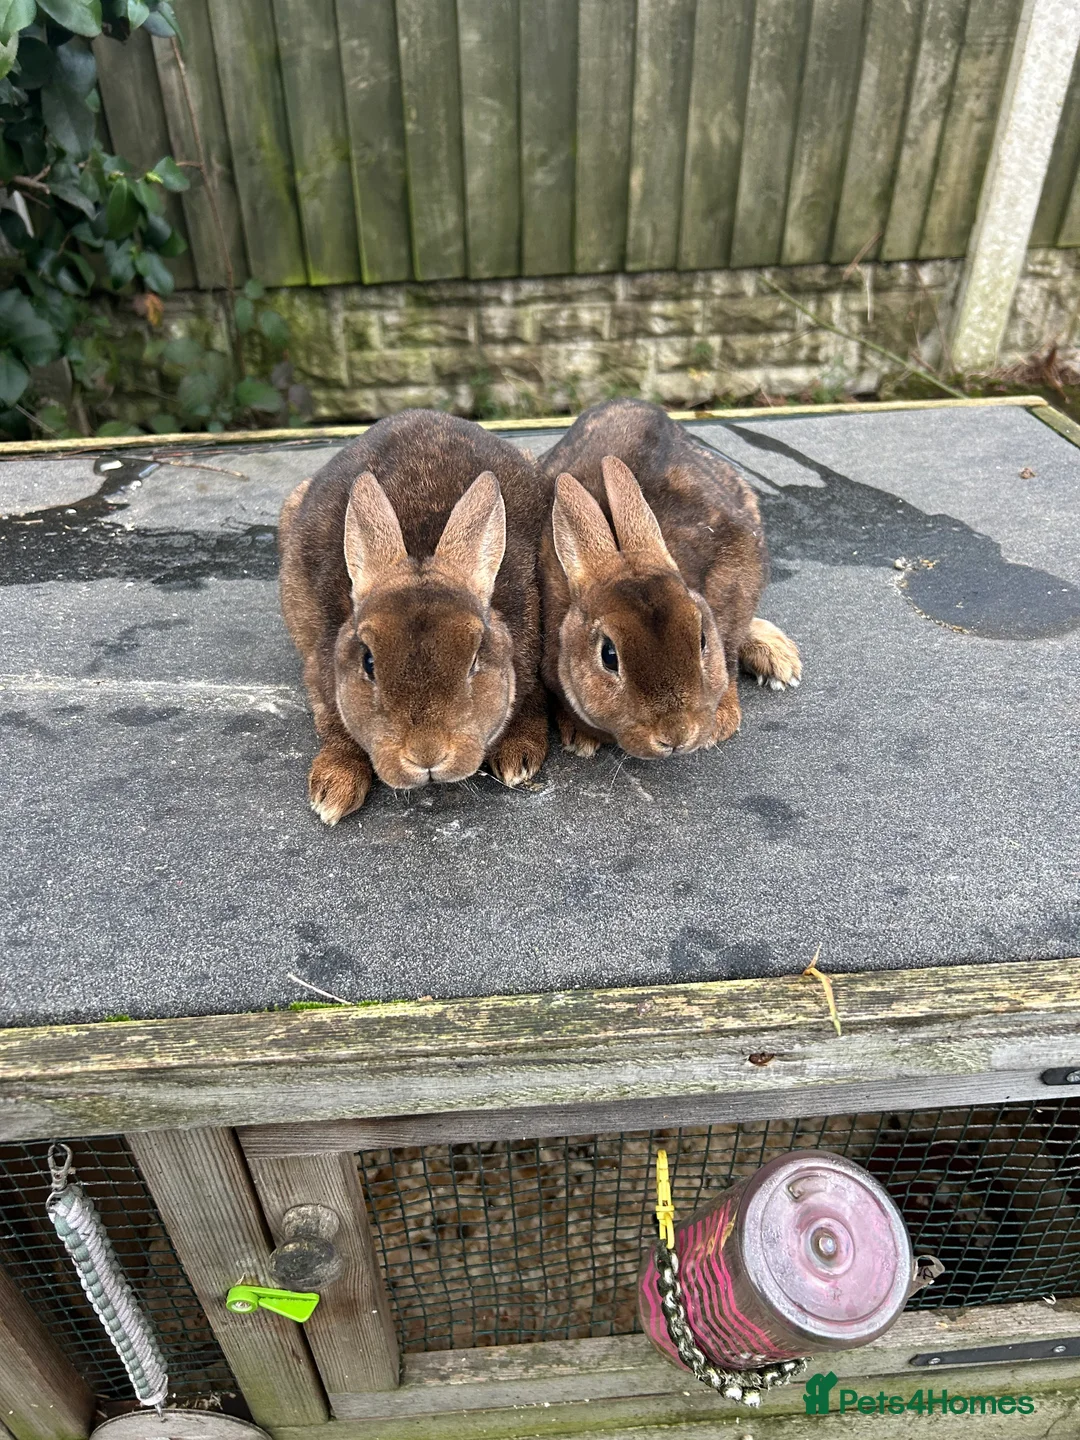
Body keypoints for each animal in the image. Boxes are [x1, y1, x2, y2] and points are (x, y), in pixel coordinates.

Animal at [279, 410, 548, 823]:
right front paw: (333, 792)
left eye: (474, 660)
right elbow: (333, 724)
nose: (426, 755)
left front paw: (518, 758)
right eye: (369, 663)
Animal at [537, 398, 800, 760]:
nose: (675, 735)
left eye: (702, 639)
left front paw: (719, 724)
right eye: (609, 656)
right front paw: (580, 738)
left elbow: (729, 649)